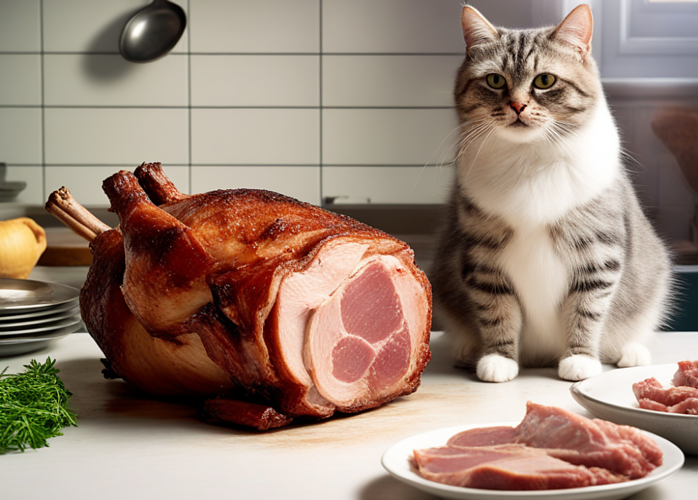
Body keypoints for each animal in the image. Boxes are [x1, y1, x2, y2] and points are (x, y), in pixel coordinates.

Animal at [430, 3, 668, 382]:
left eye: (545, 80)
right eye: (495, 80)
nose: (517, 106)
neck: (531, 157)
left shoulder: (597, 252)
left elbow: (586, 311)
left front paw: (580, 359)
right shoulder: (482, 255)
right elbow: (497, 311)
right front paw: (498, 358)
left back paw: (630, 352)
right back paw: (467, 349)